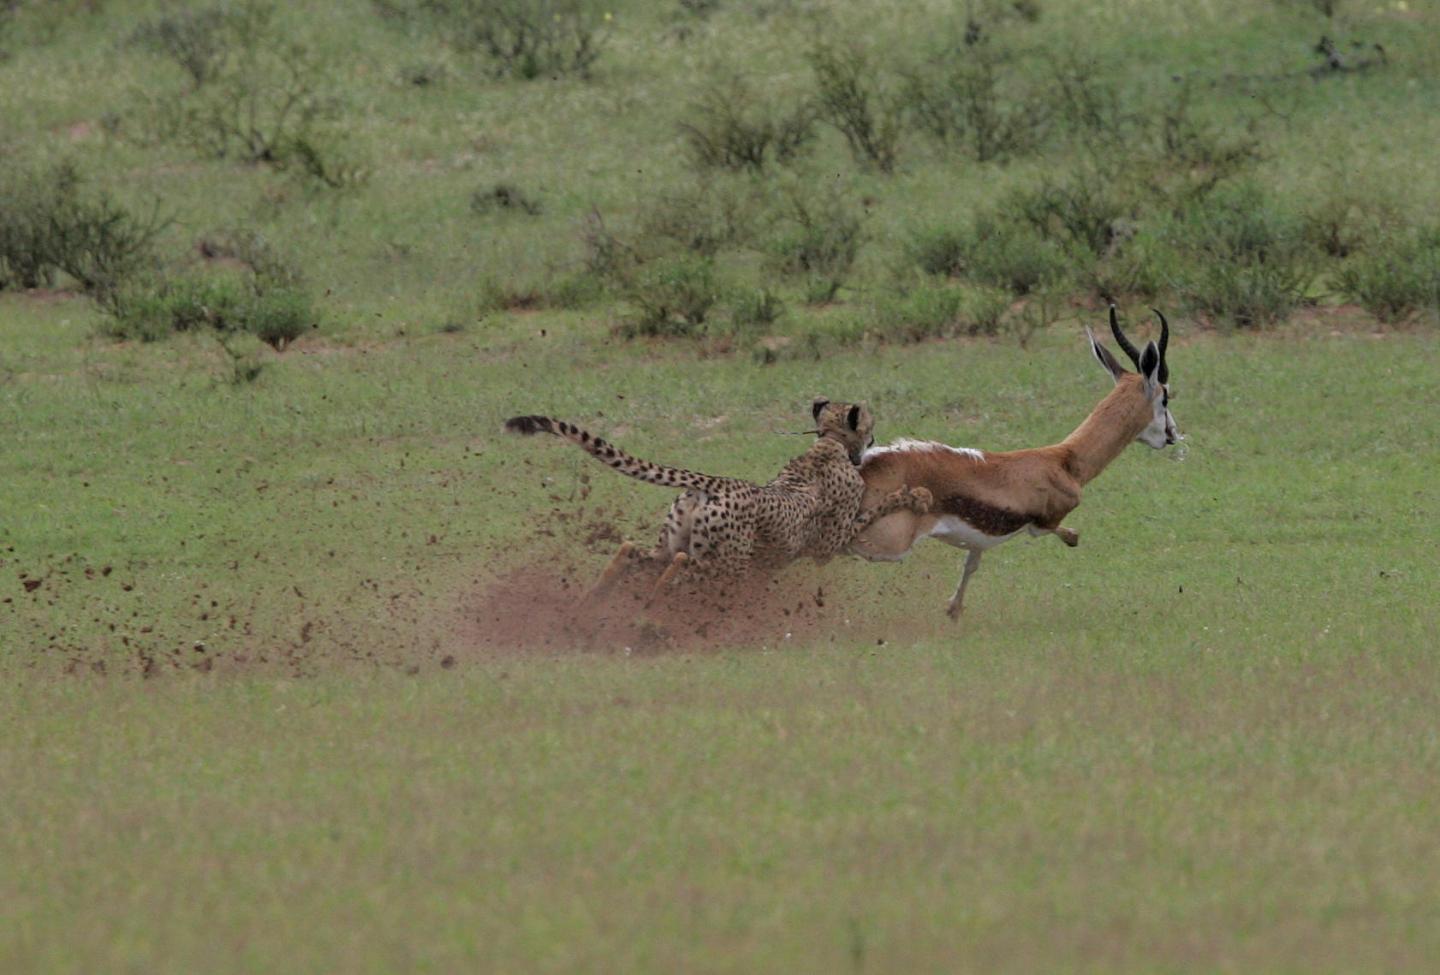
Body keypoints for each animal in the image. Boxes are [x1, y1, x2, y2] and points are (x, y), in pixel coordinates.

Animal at [506, 397, 933, 601]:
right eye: (871, 431)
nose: (872, 443)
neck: (828, 444)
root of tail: (714, 483)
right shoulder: (831, 545)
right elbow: (878, 508)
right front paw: (915, 494)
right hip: (728, 566)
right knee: (681, 565)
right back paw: (650, 606)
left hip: (673, 547)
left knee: (633, 551)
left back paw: (593, 600)